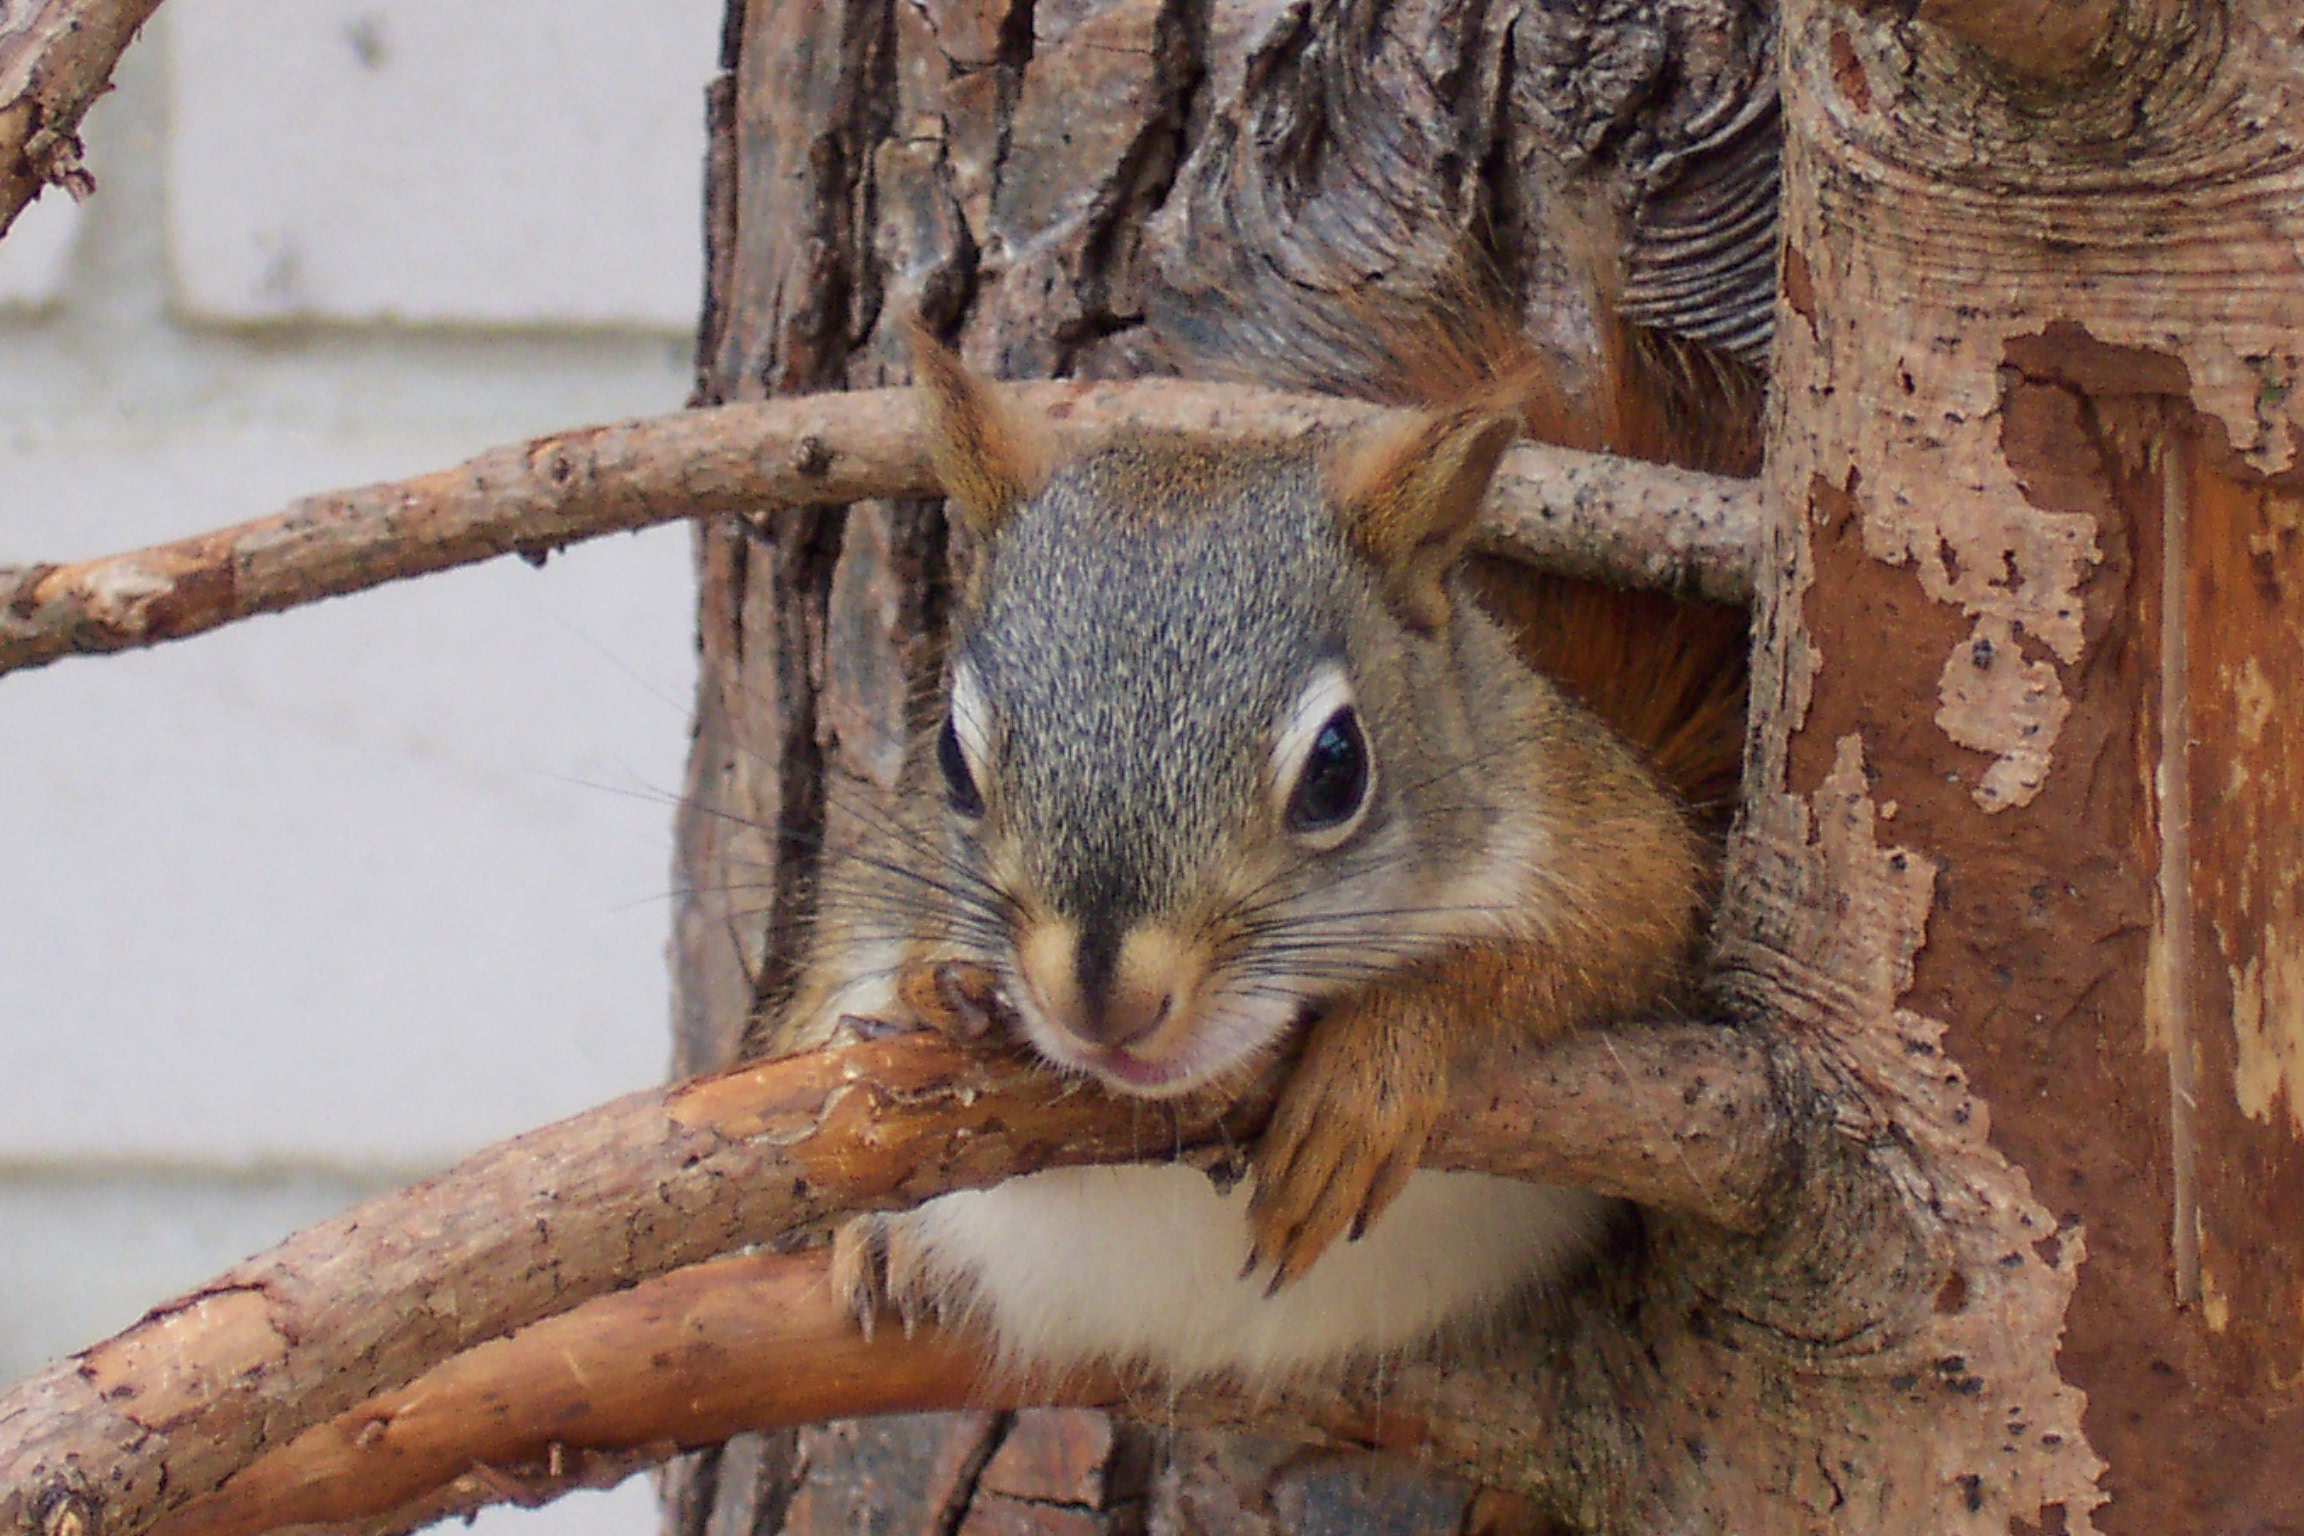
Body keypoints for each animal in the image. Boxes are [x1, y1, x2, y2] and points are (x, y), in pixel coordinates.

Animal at [755, 294, 1741, 1390]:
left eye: (1338, 768)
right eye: (949, 760)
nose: (1103, 1001)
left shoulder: (1609, 847)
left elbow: (1586, 951)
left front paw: (1371, 1074)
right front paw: (946, 988)